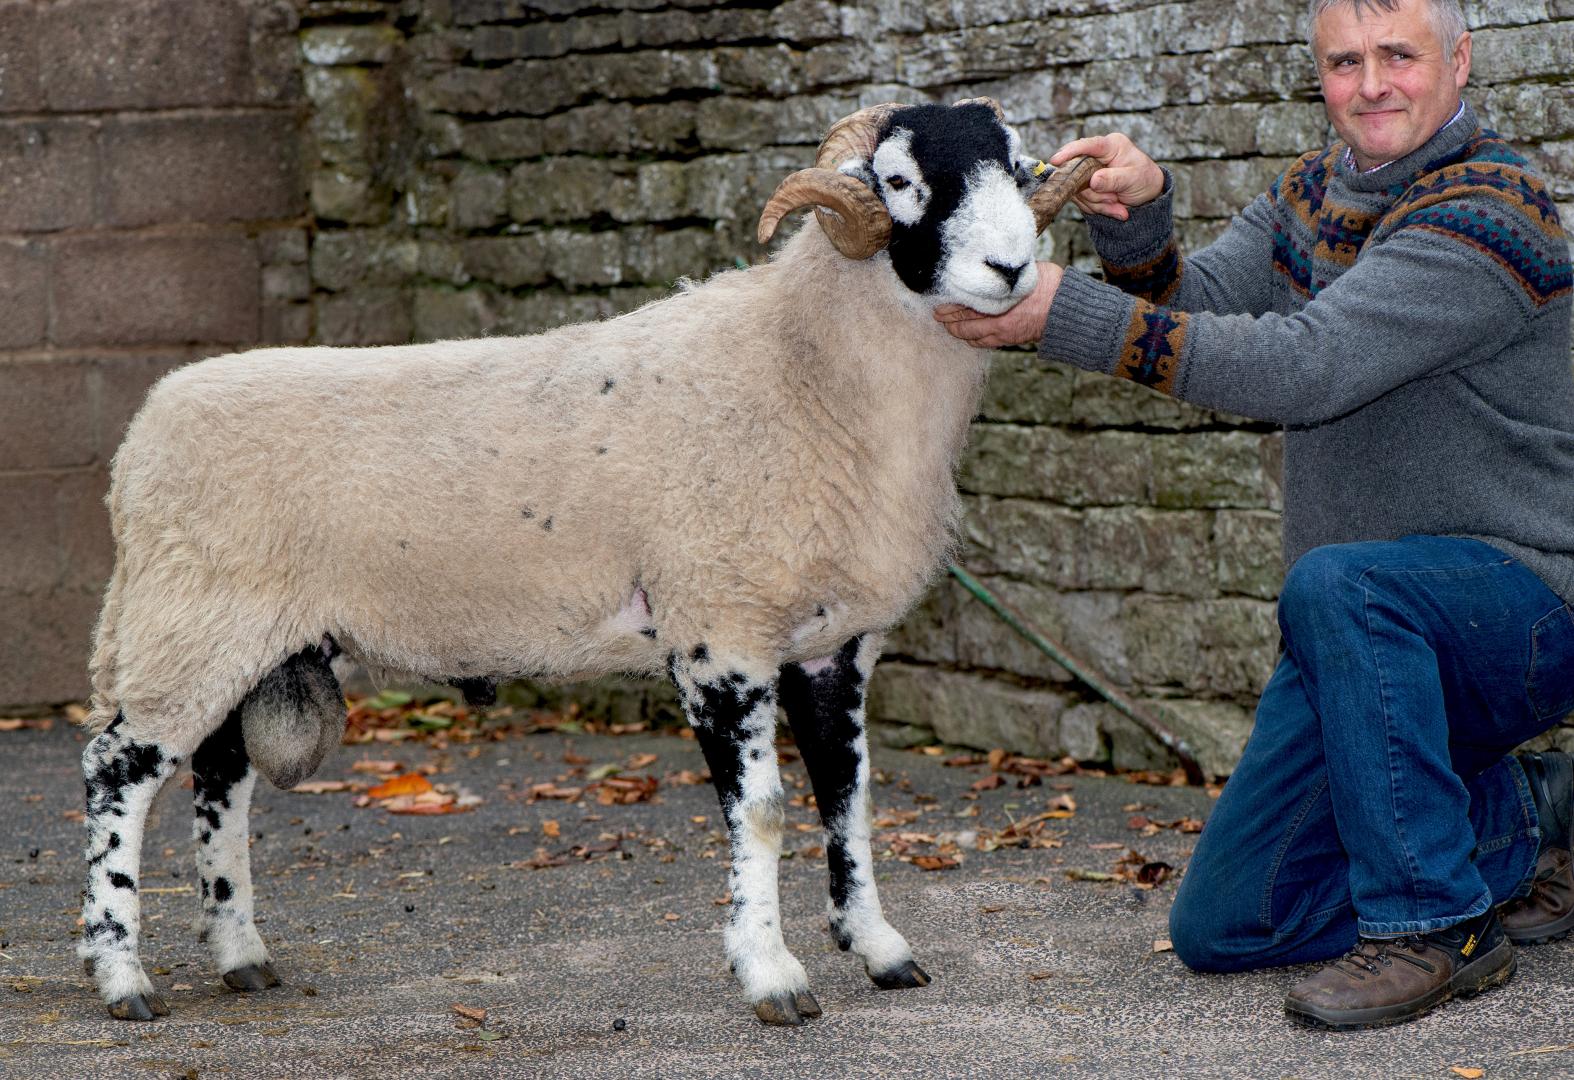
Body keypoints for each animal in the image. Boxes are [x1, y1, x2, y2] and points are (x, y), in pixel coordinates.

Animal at [76, 98, 1094, 1026]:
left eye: (1020, 167)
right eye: (899, 181)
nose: (1012, 270)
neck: (802, 370)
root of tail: (143, 434)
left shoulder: (831, 645)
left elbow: (849, 797)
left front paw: (879, 948)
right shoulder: (719, 632)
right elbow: (763, 813)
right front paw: (772, 976)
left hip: (248, 638)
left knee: (219, 778)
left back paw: (241, 956)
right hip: (188, 620)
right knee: (117, 771)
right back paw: (122, 976)